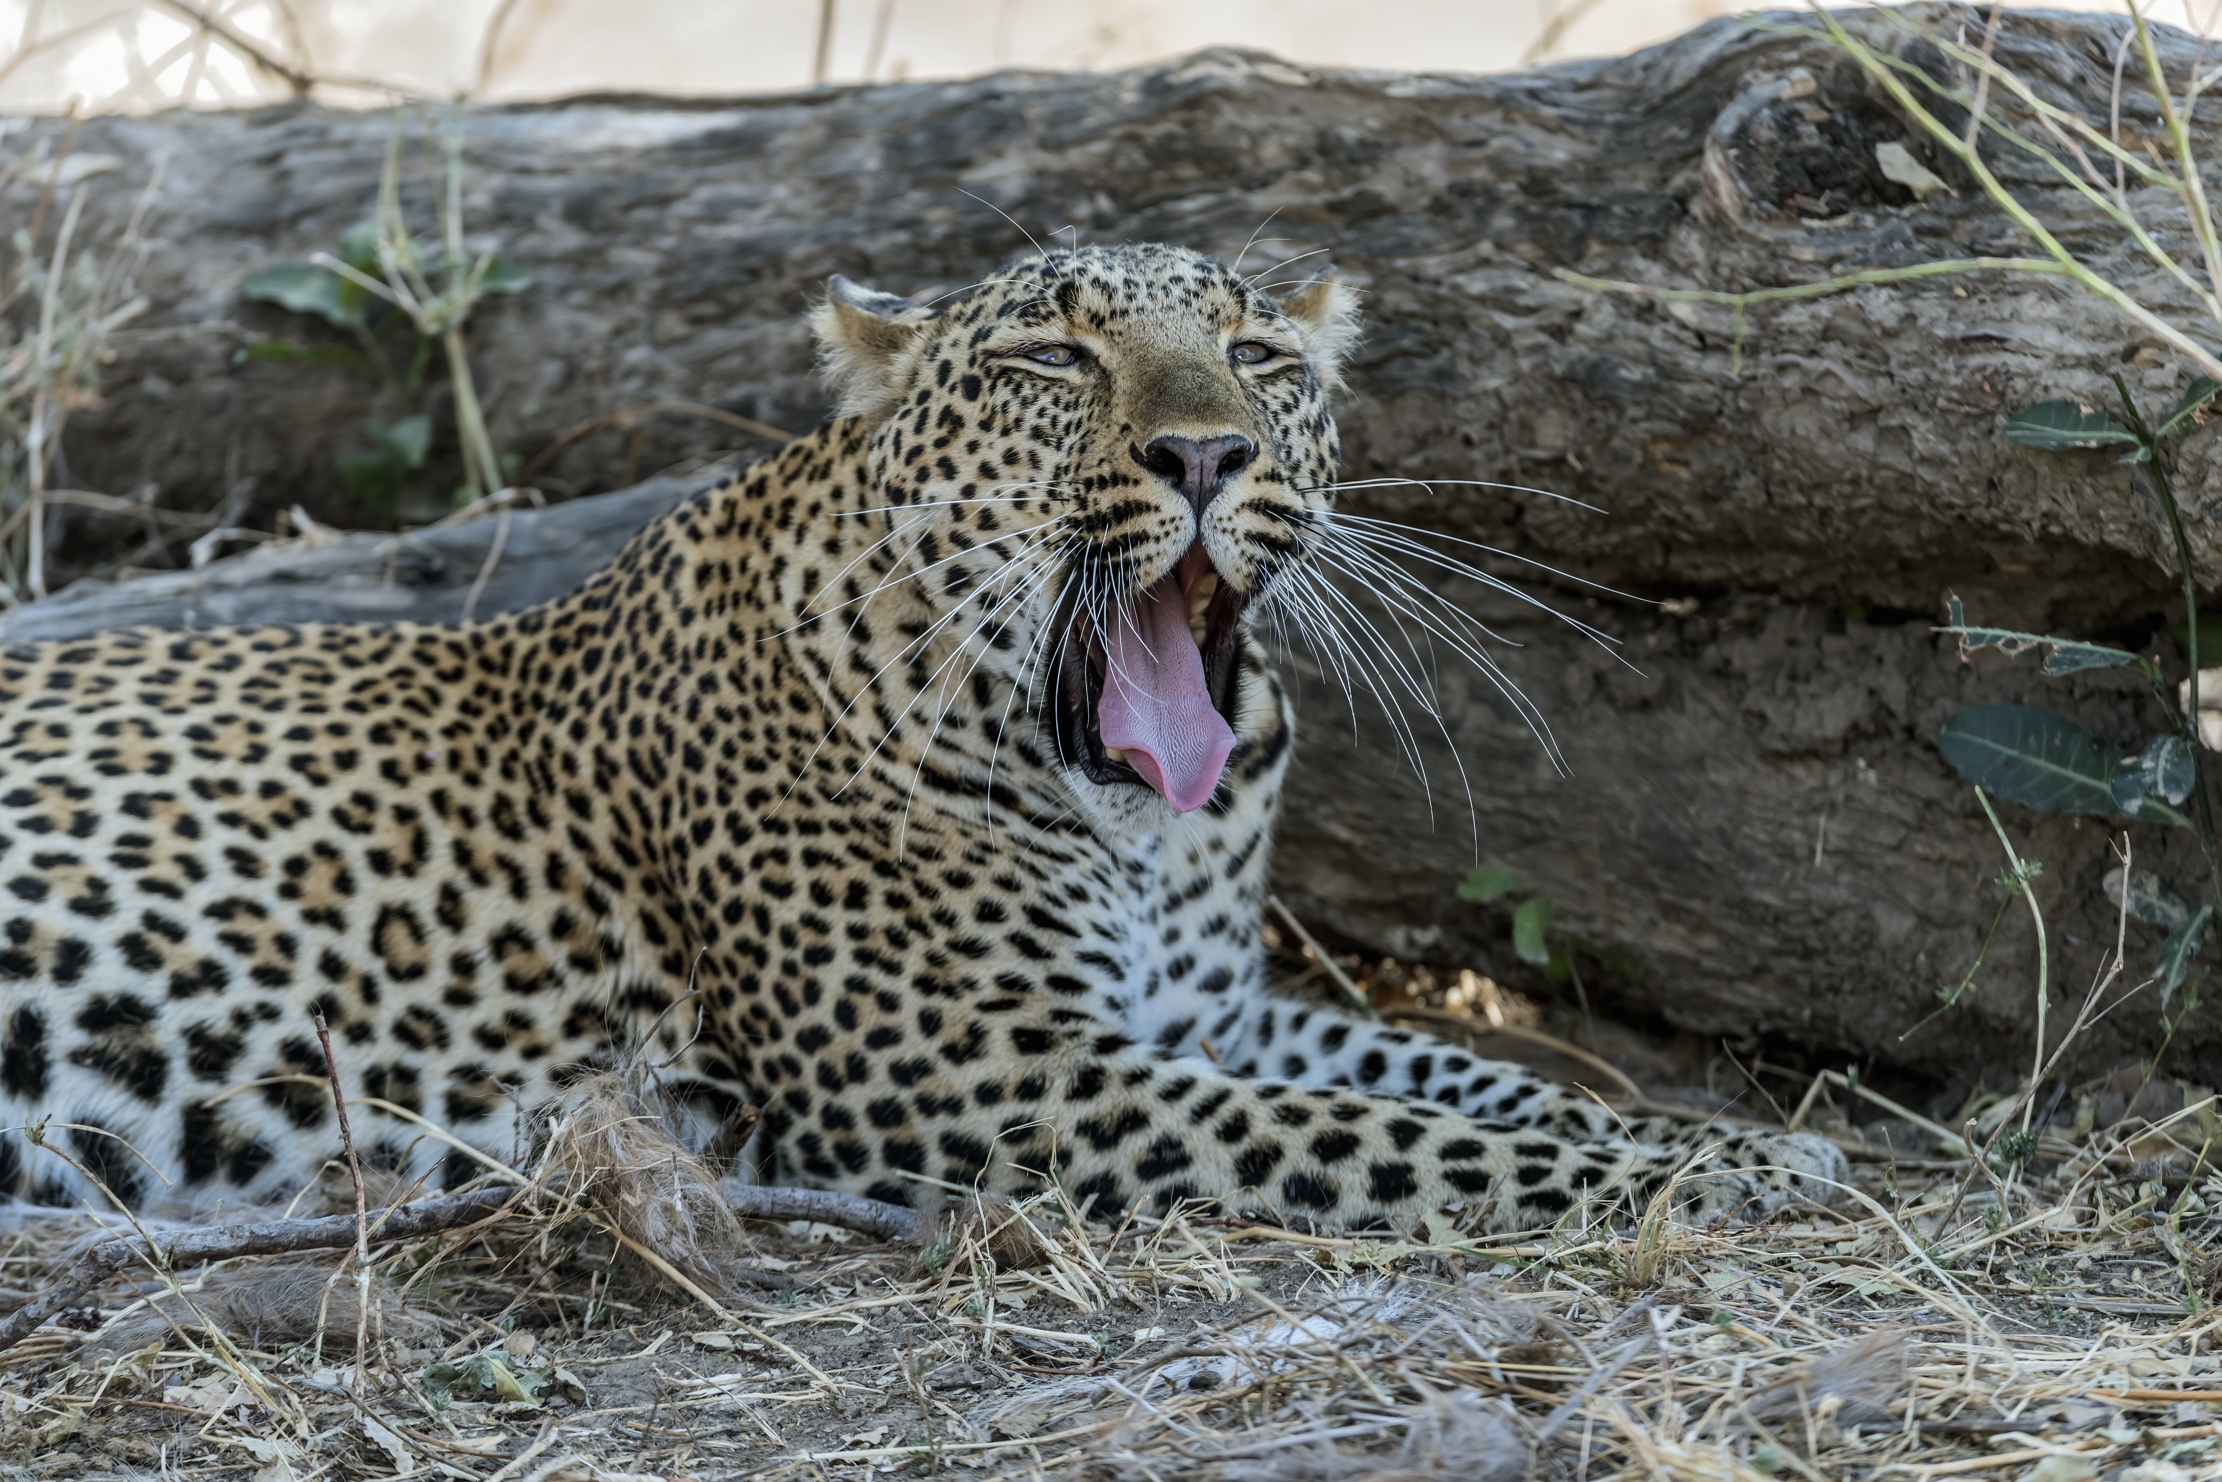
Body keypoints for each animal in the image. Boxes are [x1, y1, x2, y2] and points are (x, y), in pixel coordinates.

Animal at [0, 242, 1846, 1232]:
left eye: (1255, 352)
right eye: (1051, 355)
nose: (1203, 456)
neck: (1140, 819)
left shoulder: (1203, 1009)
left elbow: (1462, 1071)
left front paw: (1729, 1137)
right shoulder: (974, 1072)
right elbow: (1384, 1135)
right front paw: (1726, 1178)